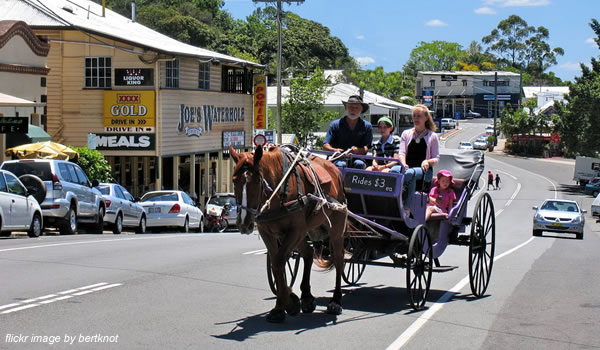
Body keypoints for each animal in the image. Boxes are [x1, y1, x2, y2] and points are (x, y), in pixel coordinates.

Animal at [231, 145, 352, 322]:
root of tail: (335, 169)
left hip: (335, 228)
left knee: (338, 259)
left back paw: (336, 301)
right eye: (234, 180)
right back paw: (307, 297)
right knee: (308, 253)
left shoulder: (295, 230)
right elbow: (276, 264)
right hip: (303, 232)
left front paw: (288, 303)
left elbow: (279, 261)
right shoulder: (268, 232)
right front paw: (282, 305)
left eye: (257, 181)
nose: (244, 223)